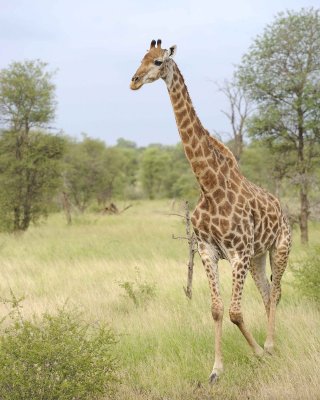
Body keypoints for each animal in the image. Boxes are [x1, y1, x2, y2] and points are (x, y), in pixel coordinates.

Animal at [129, 39, 292, 382]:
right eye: (141, 58)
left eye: (158, 61)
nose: (134, 81)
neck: (208, 185)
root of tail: (282, 210)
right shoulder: (208, 249)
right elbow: (217, 310)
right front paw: (216, 370)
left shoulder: (238, 252)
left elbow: (234, 311)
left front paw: (257, 353)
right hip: (258, 256)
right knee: (267, 291)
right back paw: (271, 344)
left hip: (280, 247)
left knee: (277, 291)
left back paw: (271, 345)